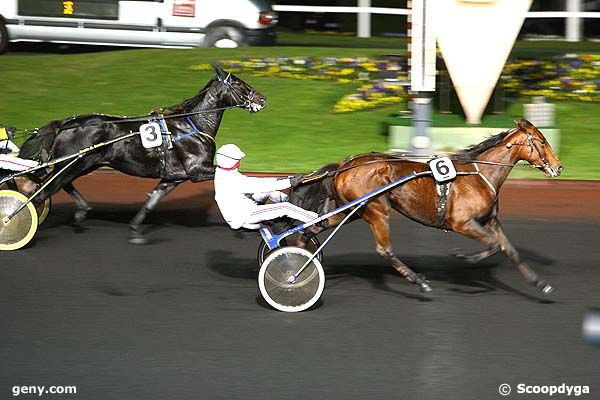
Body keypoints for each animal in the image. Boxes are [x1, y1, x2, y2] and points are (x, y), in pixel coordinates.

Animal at [19, 65, 266, 244]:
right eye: (238, 83)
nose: (262, 99)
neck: (192, 123)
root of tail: (67, 123)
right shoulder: (197, 170)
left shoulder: (172, 177)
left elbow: (151, 201)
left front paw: (136, 230)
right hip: (72, 164)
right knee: (43, 192)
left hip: (83, 164)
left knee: (60, 184)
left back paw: (81, 211)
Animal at [290, 119, 564, 294]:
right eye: (541, 141)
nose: (559, 166)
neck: (478, 175)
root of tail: (344, 165)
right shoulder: (463, 223)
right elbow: (494, 245)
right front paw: (463, 256)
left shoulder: (490, 221)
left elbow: (510, 250)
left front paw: (540, 283)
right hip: (376, 209)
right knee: (384, 250)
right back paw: (418, 280)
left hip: (352, 209)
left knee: (313, 228)